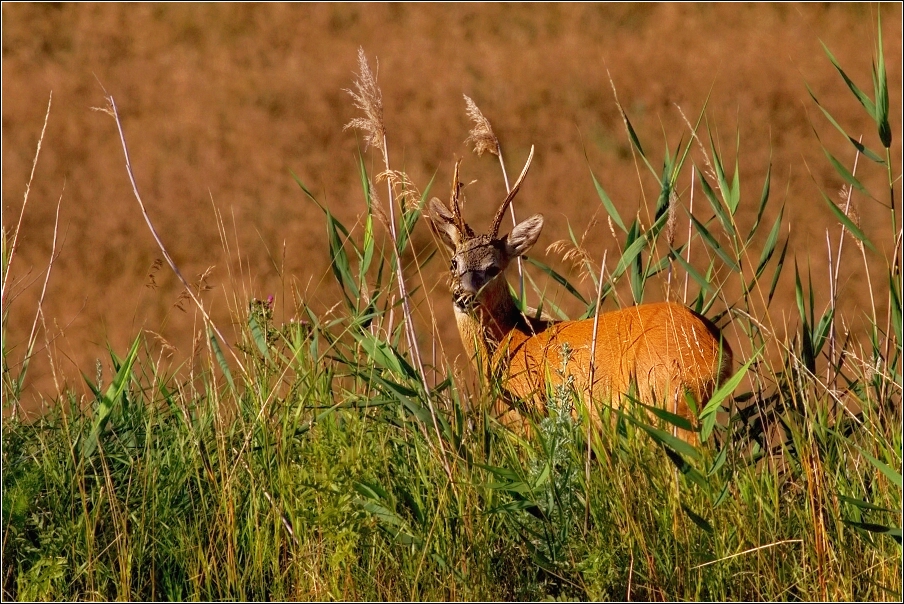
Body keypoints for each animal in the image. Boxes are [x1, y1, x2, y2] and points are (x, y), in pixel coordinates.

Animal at [428, 151, 732, 444]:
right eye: (454, 262)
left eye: (493, 268)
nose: (462, 296)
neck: (512, 337)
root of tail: (717, 348)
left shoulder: (528, 415)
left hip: (672, 397)